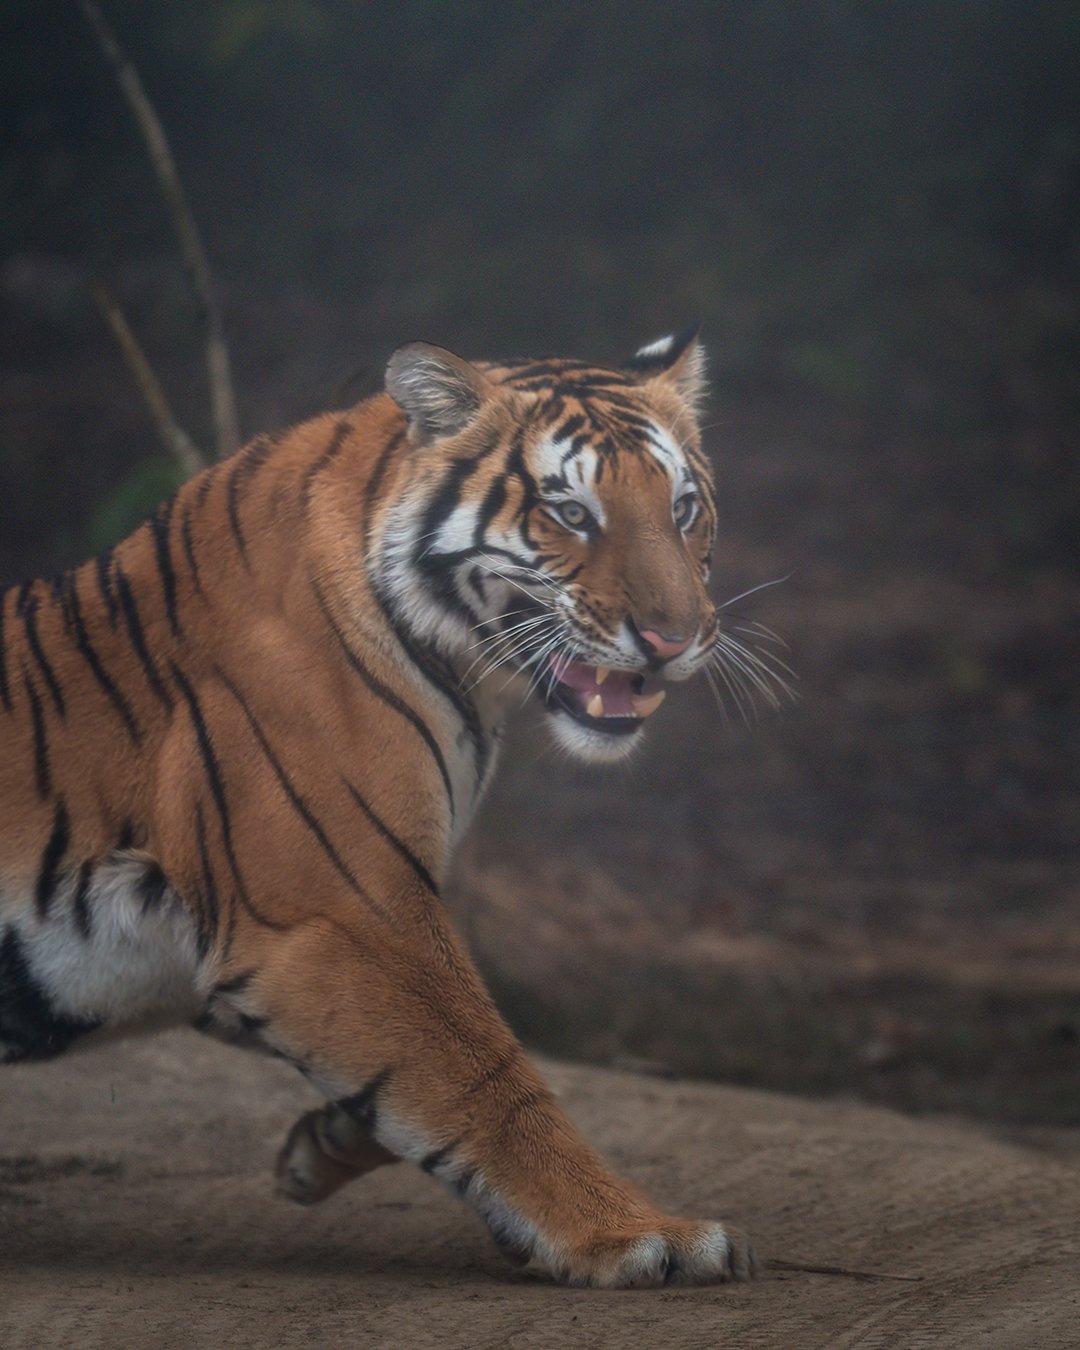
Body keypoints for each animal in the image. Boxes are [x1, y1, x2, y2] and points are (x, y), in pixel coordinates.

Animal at [0, 325, 758, 1287]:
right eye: (572, 512)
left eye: (684, 508)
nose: (674, 639)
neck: (470, 676)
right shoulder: (341, 913)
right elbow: (489, 1077)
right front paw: (639, 1234)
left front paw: (317, 1148)